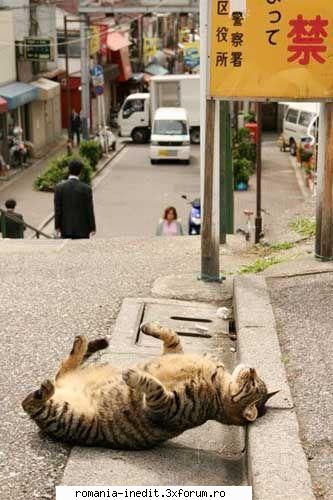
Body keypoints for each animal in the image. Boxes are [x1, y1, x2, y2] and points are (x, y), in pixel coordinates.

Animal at [22, 322, 278, 452]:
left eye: (254, 383)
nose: (252, 368)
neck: (217, 379)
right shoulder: (174, 351)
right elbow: (172, 335)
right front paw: (149, 326)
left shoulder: (164, 407)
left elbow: (154, 387)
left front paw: (134, 375)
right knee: (63, 369)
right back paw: (81, 344)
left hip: (63, 415)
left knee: (29, 403)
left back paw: (44, 389)